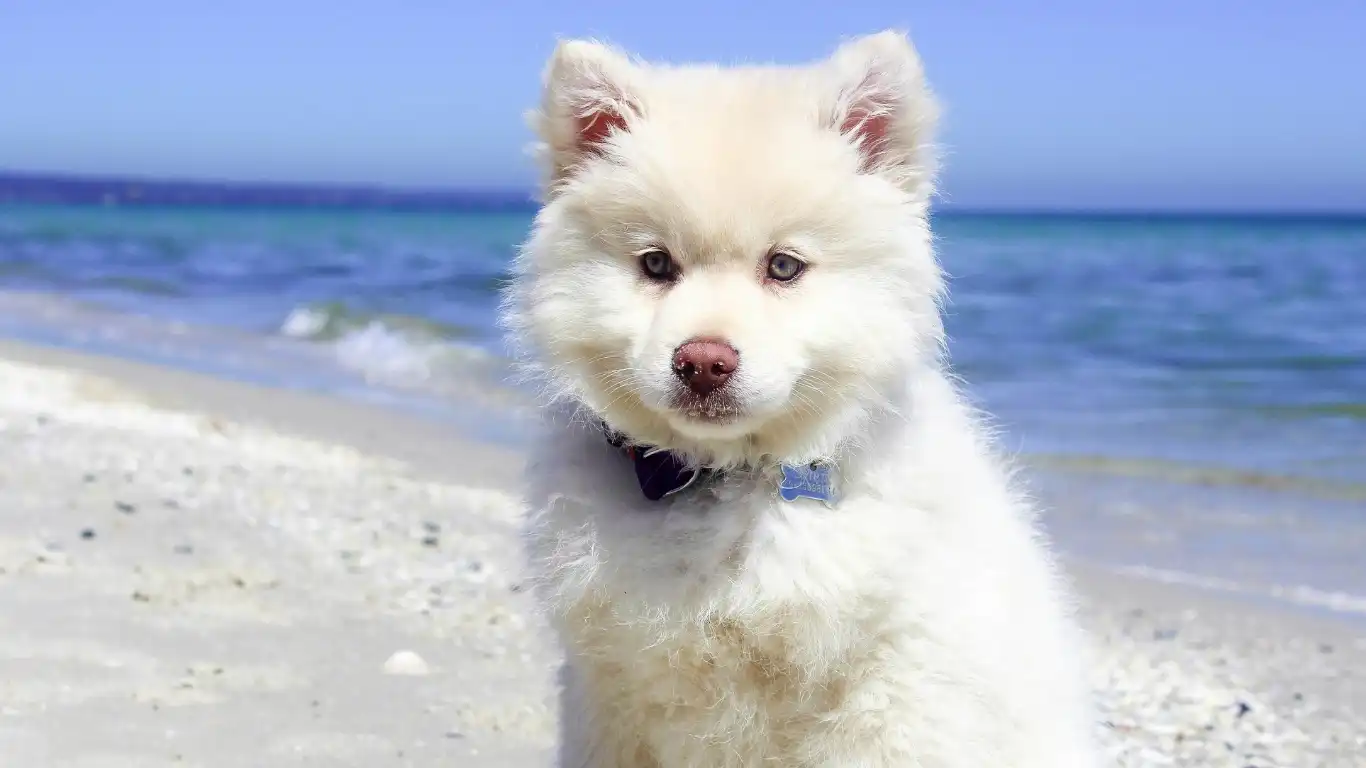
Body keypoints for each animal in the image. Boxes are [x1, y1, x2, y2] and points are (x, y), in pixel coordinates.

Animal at [502, 26, 1098, 759]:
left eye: (784, 267)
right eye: (656, 264)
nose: (703, 362)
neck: (726, 484)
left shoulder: (890, 699)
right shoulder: (609, 699)